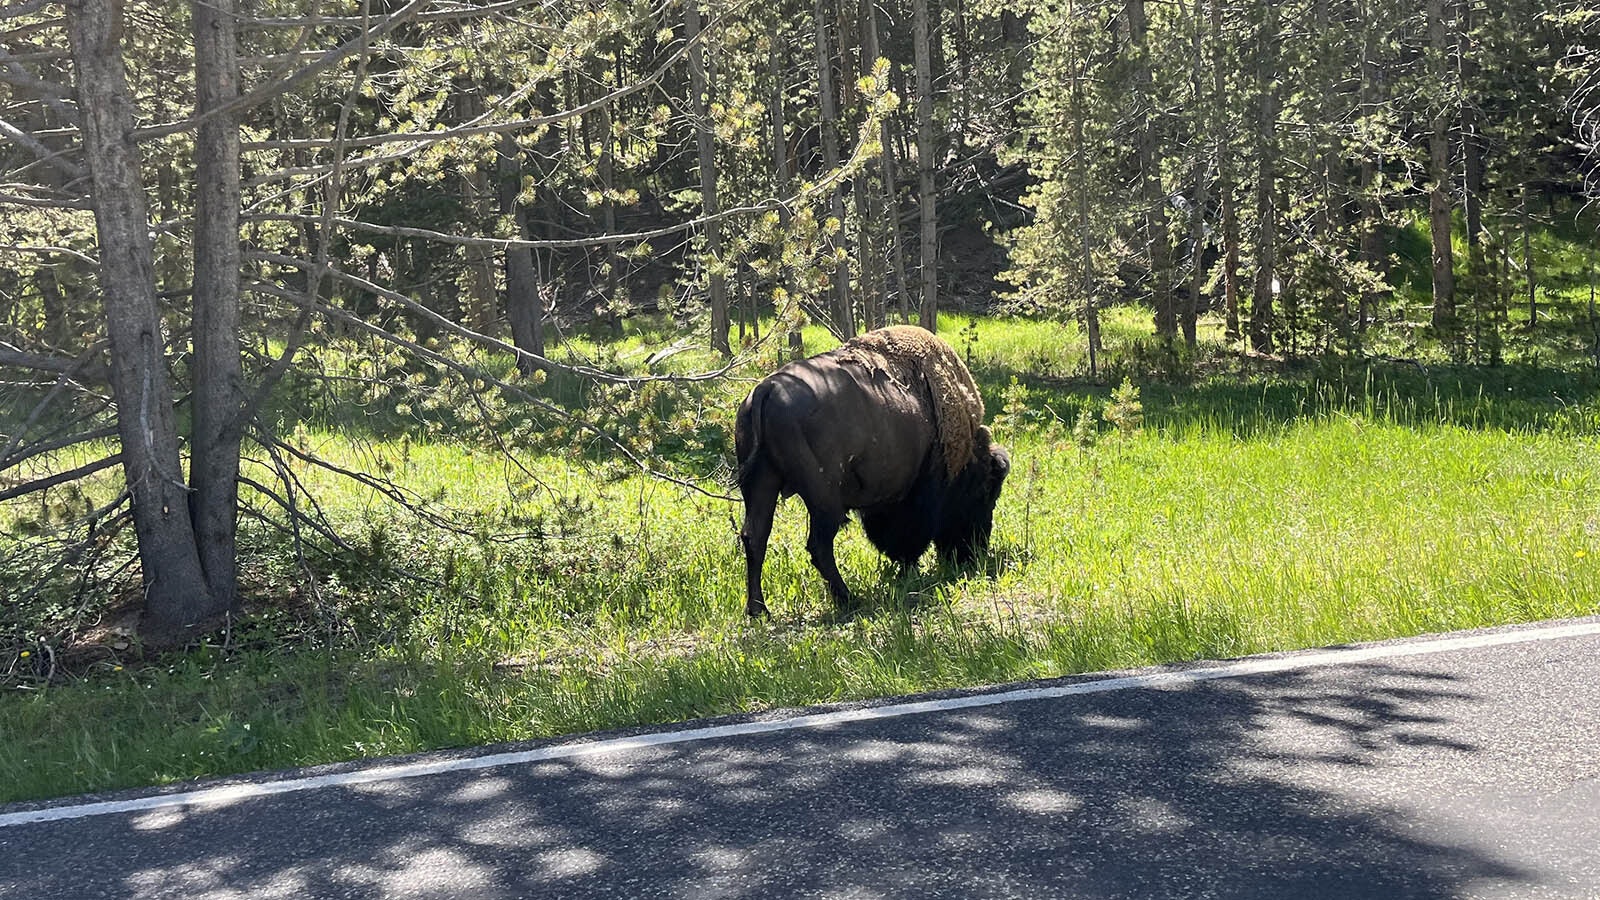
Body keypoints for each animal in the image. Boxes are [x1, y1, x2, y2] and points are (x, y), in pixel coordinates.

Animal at [732, 323, 1004, 614]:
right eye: (984, 493)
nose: (973, 552)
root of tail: (767, 389)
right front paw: (907, 571)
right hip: (823, 499)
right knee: (819, 546)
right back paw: (848, 599)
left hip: (763, 484)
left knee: (755, 538)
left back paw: (758, 610)